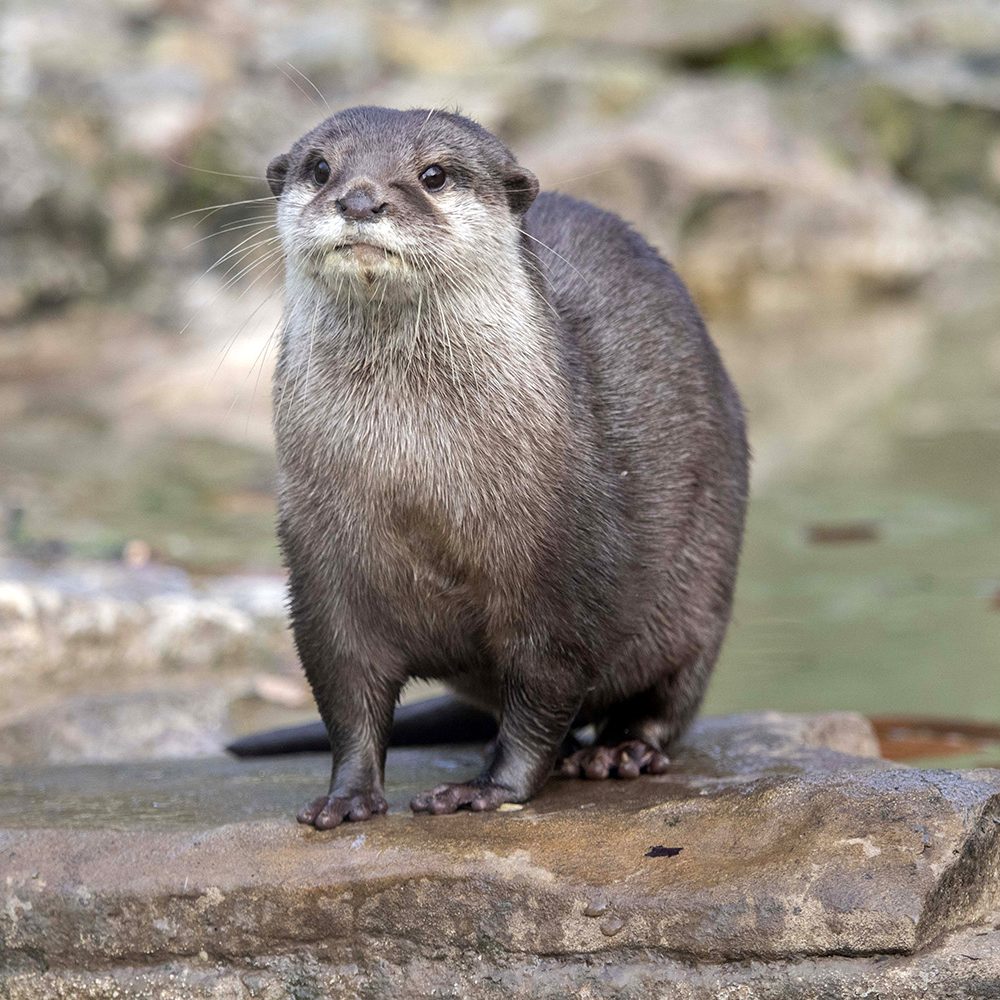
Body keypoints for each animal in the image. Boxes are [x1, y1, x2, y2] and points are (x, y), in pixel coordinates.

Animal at [254, 107, 748, 828]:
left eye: (433, 174)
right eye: (320, 168)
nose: (361, 200)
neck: (418, 483)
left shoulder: (565, 569)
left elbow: (543, 691)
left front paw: (488, 789)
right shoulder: (321, 567)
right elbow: (345, 692)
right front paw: (347, 795)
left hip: (703, 587)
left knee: (671, 697)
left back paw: (620, 751)